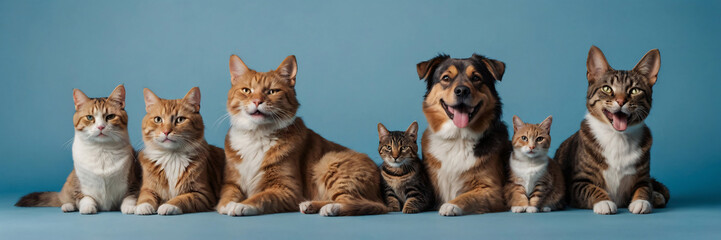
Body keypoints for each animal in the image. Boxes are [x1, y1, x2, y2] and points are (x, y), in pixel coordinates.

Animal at [134, 87, 225, 215]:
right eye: (158, 119)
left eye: (180, 119)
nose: (166, 131)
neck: (171, 156)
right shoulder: (147, 188)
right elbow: (145, 197)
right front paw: (143, 206)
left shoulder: (203, 194)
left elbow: (183, 198)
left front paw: (168, 205)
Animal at [217, 55, 386, 217]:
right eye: (246, 90)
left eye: (272, 91)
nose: (257, 101)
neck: (257, 135)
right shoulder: (231, 183)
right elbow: (227, 196)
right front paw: (227, 205)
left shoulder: (288, 190)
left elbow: (261, 197)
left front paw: (241, 205)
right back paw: (311, 205)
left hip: (328, 161)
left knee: (356, 201)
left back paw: (330, 208)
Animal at [414, 54, 510, 216]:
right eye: (446, 78)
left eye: (476, 77)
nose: (462, 91)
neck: (458, 137)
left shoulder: (494, 191)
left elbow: (469, 196)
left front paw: (451, 205)